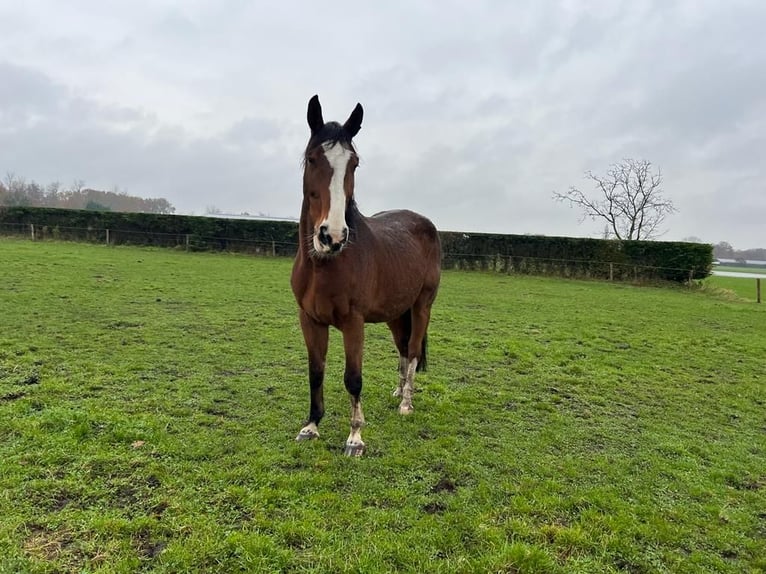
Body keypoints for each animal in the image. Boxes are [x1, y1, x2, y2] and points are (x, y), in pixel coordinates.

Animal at [290, 95, 444, 460]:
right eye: (313, 158)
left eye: (354, 164)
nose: (332, 235)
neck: (326, 264)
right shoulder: (309, 320)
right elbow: (315, 372)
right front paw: (311, 426)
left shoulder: (353, 322)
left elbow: (353, 378)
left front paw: (355, 438)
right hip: (395, 313)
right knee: (402, 348)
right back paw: (398, 390)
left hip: (422, 306)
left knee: (412, 351)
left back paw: (406, 403)